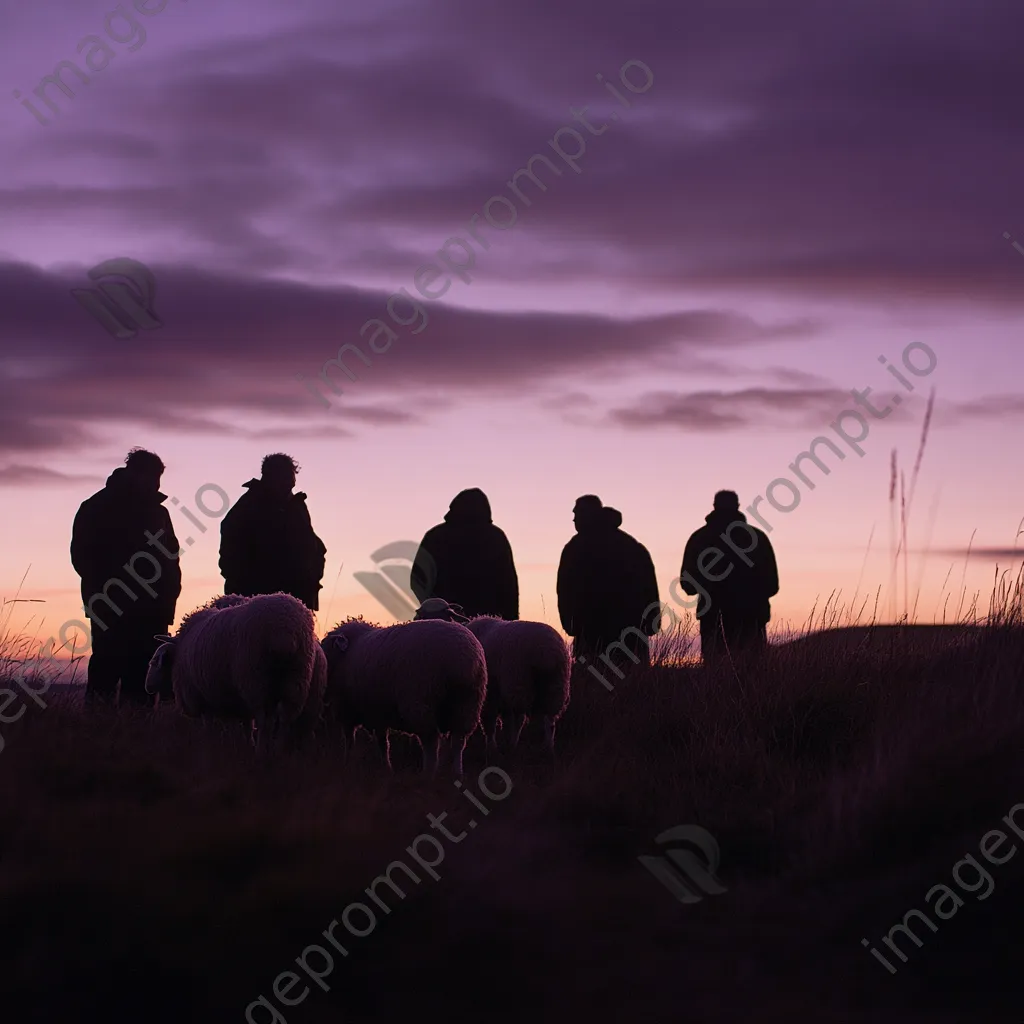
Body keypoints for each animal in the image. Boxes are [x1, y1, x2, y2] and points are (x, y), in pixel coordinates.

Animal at [144, 593, 323, 753]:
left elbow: (209, 725)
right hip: (296, 679)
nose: (148, 687)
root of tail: (285, 628)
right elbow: (245, 726)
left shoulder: (204, 697)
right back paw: (278, 752)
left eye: (154, 662)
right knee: (285, 719)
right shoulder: (231, 698)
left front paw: (208, 745)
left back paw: (261, 753)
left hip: (254, 679)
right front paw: (243, 745)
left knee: (264, 721)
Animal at [323, 614, 487, 774]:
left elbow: (350, 740)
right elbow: (383, 743)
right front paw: (387, 769)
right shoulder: (377, 713)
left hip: (420, 701)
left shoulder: (347, 709)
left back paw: (429, 773)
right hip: (468, 703)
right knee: (458, 741)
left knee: (431, 741)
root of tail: (461, 658)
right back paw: (457, 773)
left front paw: (346, 764)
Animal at [413, 598, 573, 753]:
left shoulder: (488, 693)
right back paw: (548, 747)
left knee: (520, 718)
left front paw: (492, 747)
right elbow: (506, 721)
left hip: (517, 682)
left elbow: (490, 723)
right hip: (555, 685)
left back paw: (514, 746)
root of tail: (546, 651)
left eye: (424, 614)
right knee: (549, 719)